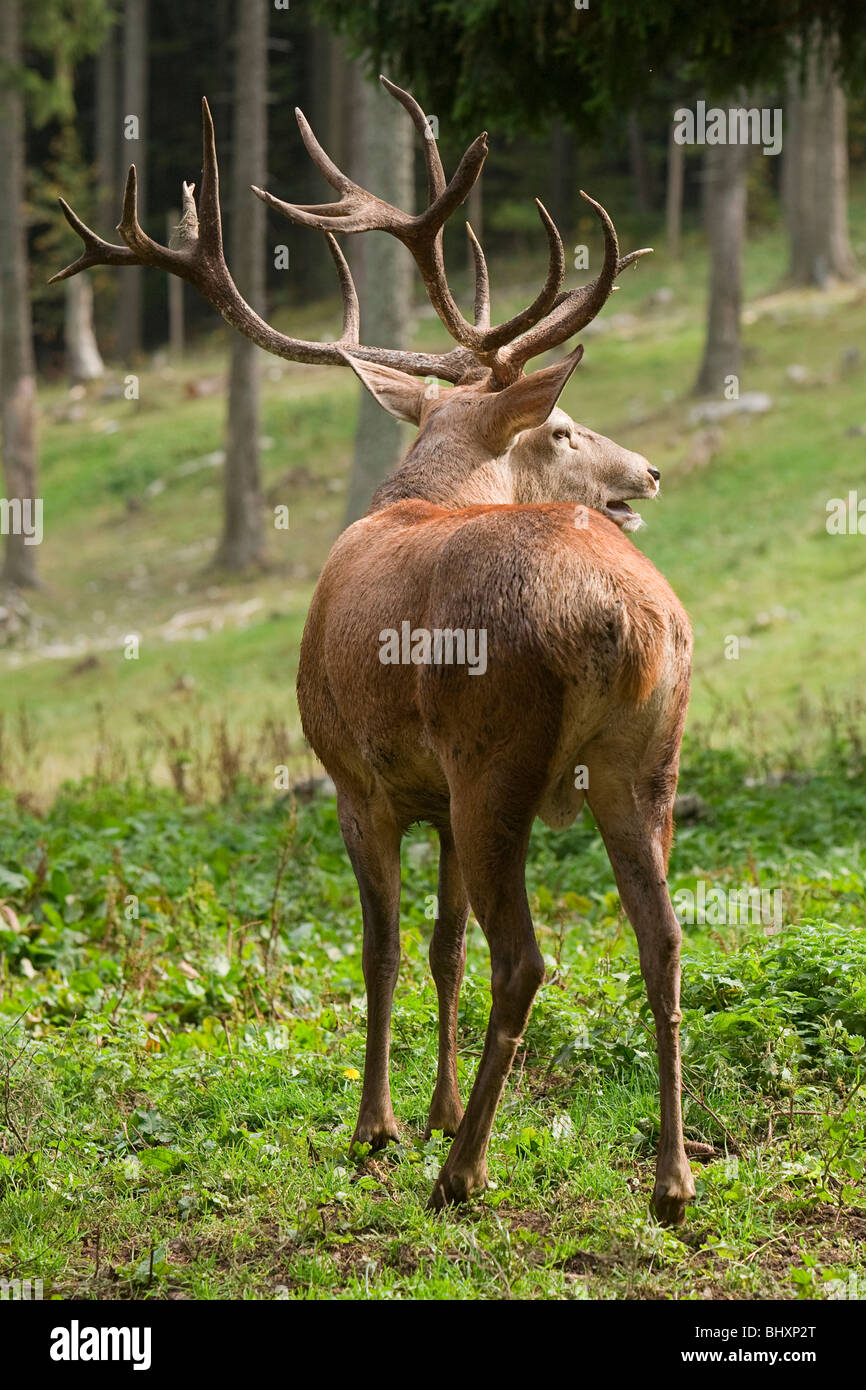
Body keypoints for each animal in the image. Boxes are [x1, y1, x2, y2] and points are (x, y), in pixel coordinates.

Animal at [54, 78, 697, 1228]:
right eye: (564, 428)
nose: (651, 470)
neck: (418, 493)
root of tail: (627, 619)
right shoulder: (429, 792)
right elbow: (439, 947)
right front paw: (431, 1109)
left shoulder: (359, 777)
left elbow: (382, 948)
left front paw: (379, 1128)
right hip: (643, 759)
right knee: (660, 940)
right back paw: (670, 1180)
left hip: (498, 756)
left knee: (525, 956)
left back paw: (464, 1173)